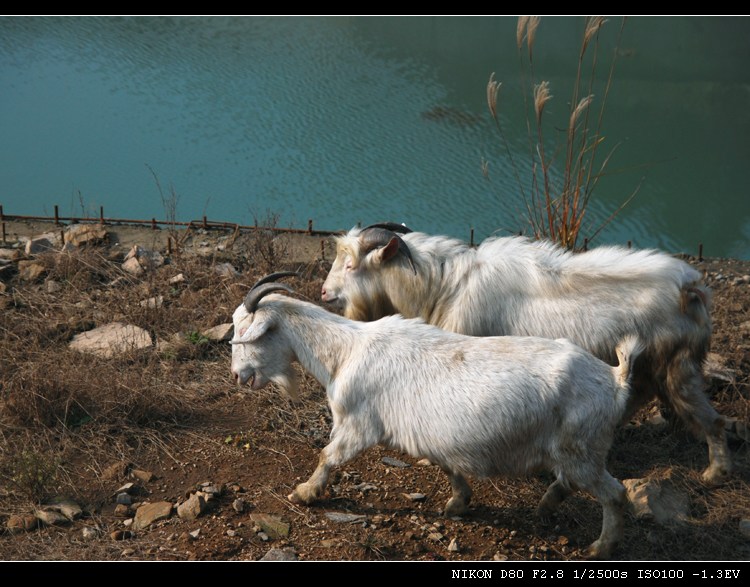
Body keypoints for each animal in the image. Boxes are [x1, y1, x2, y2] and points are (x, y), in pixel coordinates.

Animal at [231, 276, 648, 560]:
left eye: (245, 332)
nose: (237, 375)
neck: (344, 350)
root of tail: (615, 378)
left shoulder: (358, 425)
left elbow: (328, 456)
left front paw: (304, 492)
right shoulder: (430, 433)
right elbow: (447, 465)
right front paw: (458, 503)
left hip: (583, 448)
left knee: (614, 493)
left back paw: (600, 547)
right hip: (573, 450)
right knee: (569, 481)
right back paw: (545, 507)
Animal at [320, 223, 732, 484]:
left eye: (351, 264)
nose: (324, 293)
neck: (444, 286)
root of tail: (693, 290)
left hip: (679, 368)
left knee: (711, 419)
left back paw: (715, 473)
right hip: (652, 368)